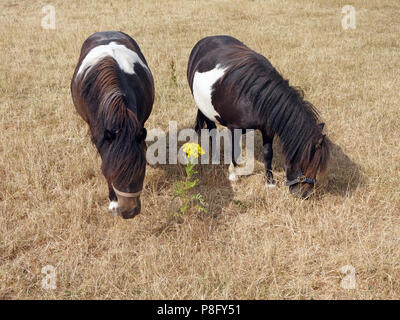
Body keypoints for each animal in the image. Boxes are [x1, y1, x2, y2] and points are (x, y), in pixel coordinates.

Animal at [188, 35, 332, 198]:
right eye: (307, 161)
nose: (304, 194)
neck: (252, 96)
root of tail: (206, 40)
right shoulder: (234, 128)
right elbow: (235, 150)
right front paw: (233, 174)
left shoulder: (268, 129)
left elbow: (268, 154)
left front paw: (269, 182)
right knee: (211, 128)